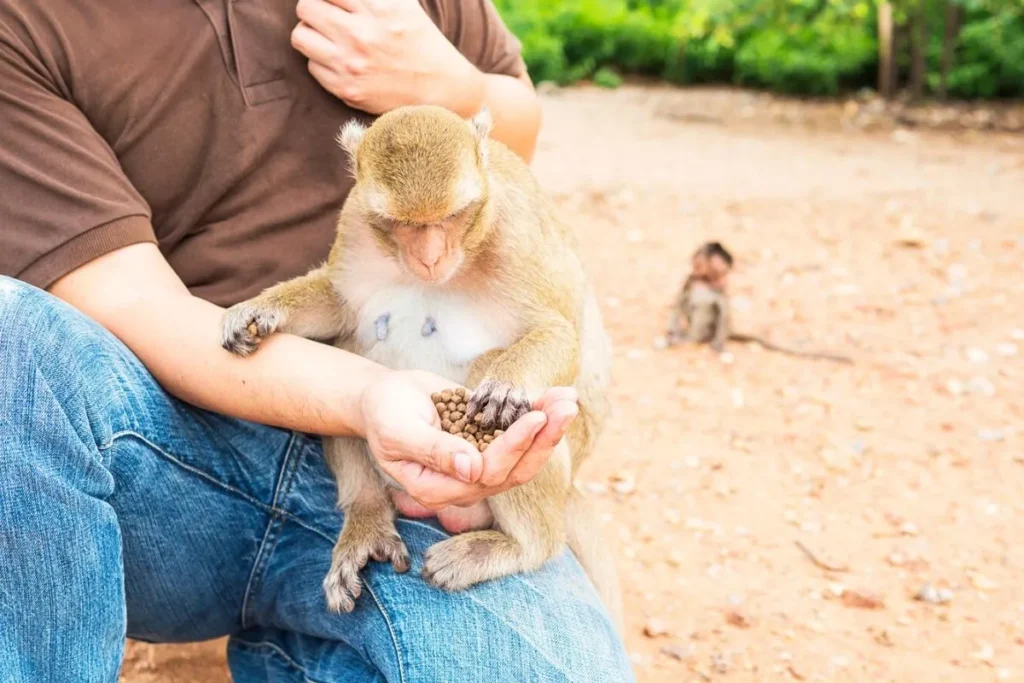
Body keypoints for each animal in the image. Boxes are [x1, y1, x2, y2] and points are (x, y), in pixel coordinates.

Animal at [218, 102, 622, 630]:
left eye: (452, 216)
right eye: (398, 222)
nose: (429, 258)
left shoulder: (513, 234)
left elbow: (560, 333)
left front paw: (506, 384)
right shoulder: (356, 222)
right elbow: (339, 306)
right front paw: (261, 310)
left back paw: (519, 547)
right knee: (350, 349)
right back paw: (367, 514)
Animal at [667, 242, 851, 366]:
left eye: (725, 271)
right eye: (721, 268)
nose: (724, 276)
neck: (705, 280)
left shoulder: (720, 287)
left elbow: (723, 309)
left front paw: (718, 346)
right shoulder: (691, 279)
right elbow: (680, 301)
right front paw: (672, 331)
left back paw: (688, 339)